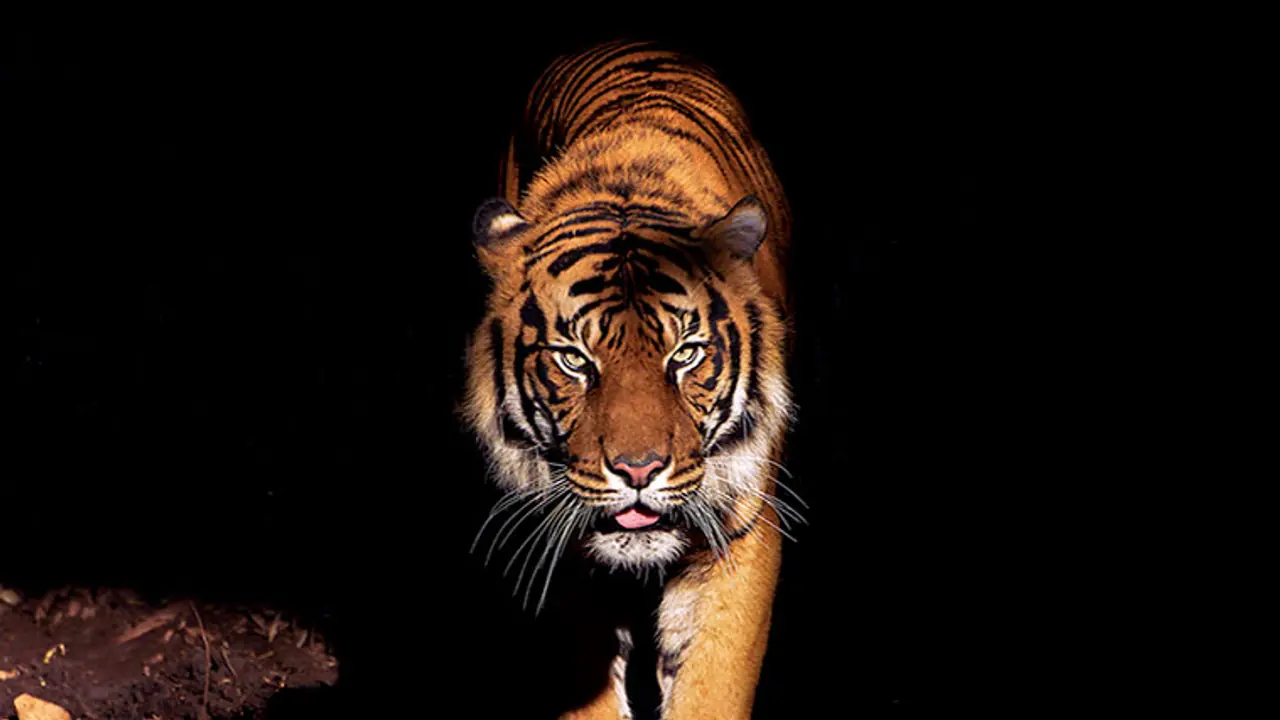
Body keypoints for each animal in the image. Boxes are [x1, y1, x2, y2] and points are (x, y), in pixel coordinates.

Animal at [464, 39, 799, 719]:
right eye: (574, 360)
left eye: (685, 355)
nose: (638, 471)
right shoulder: (560, 540)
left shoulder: (742, 532)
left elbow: (711, 688)